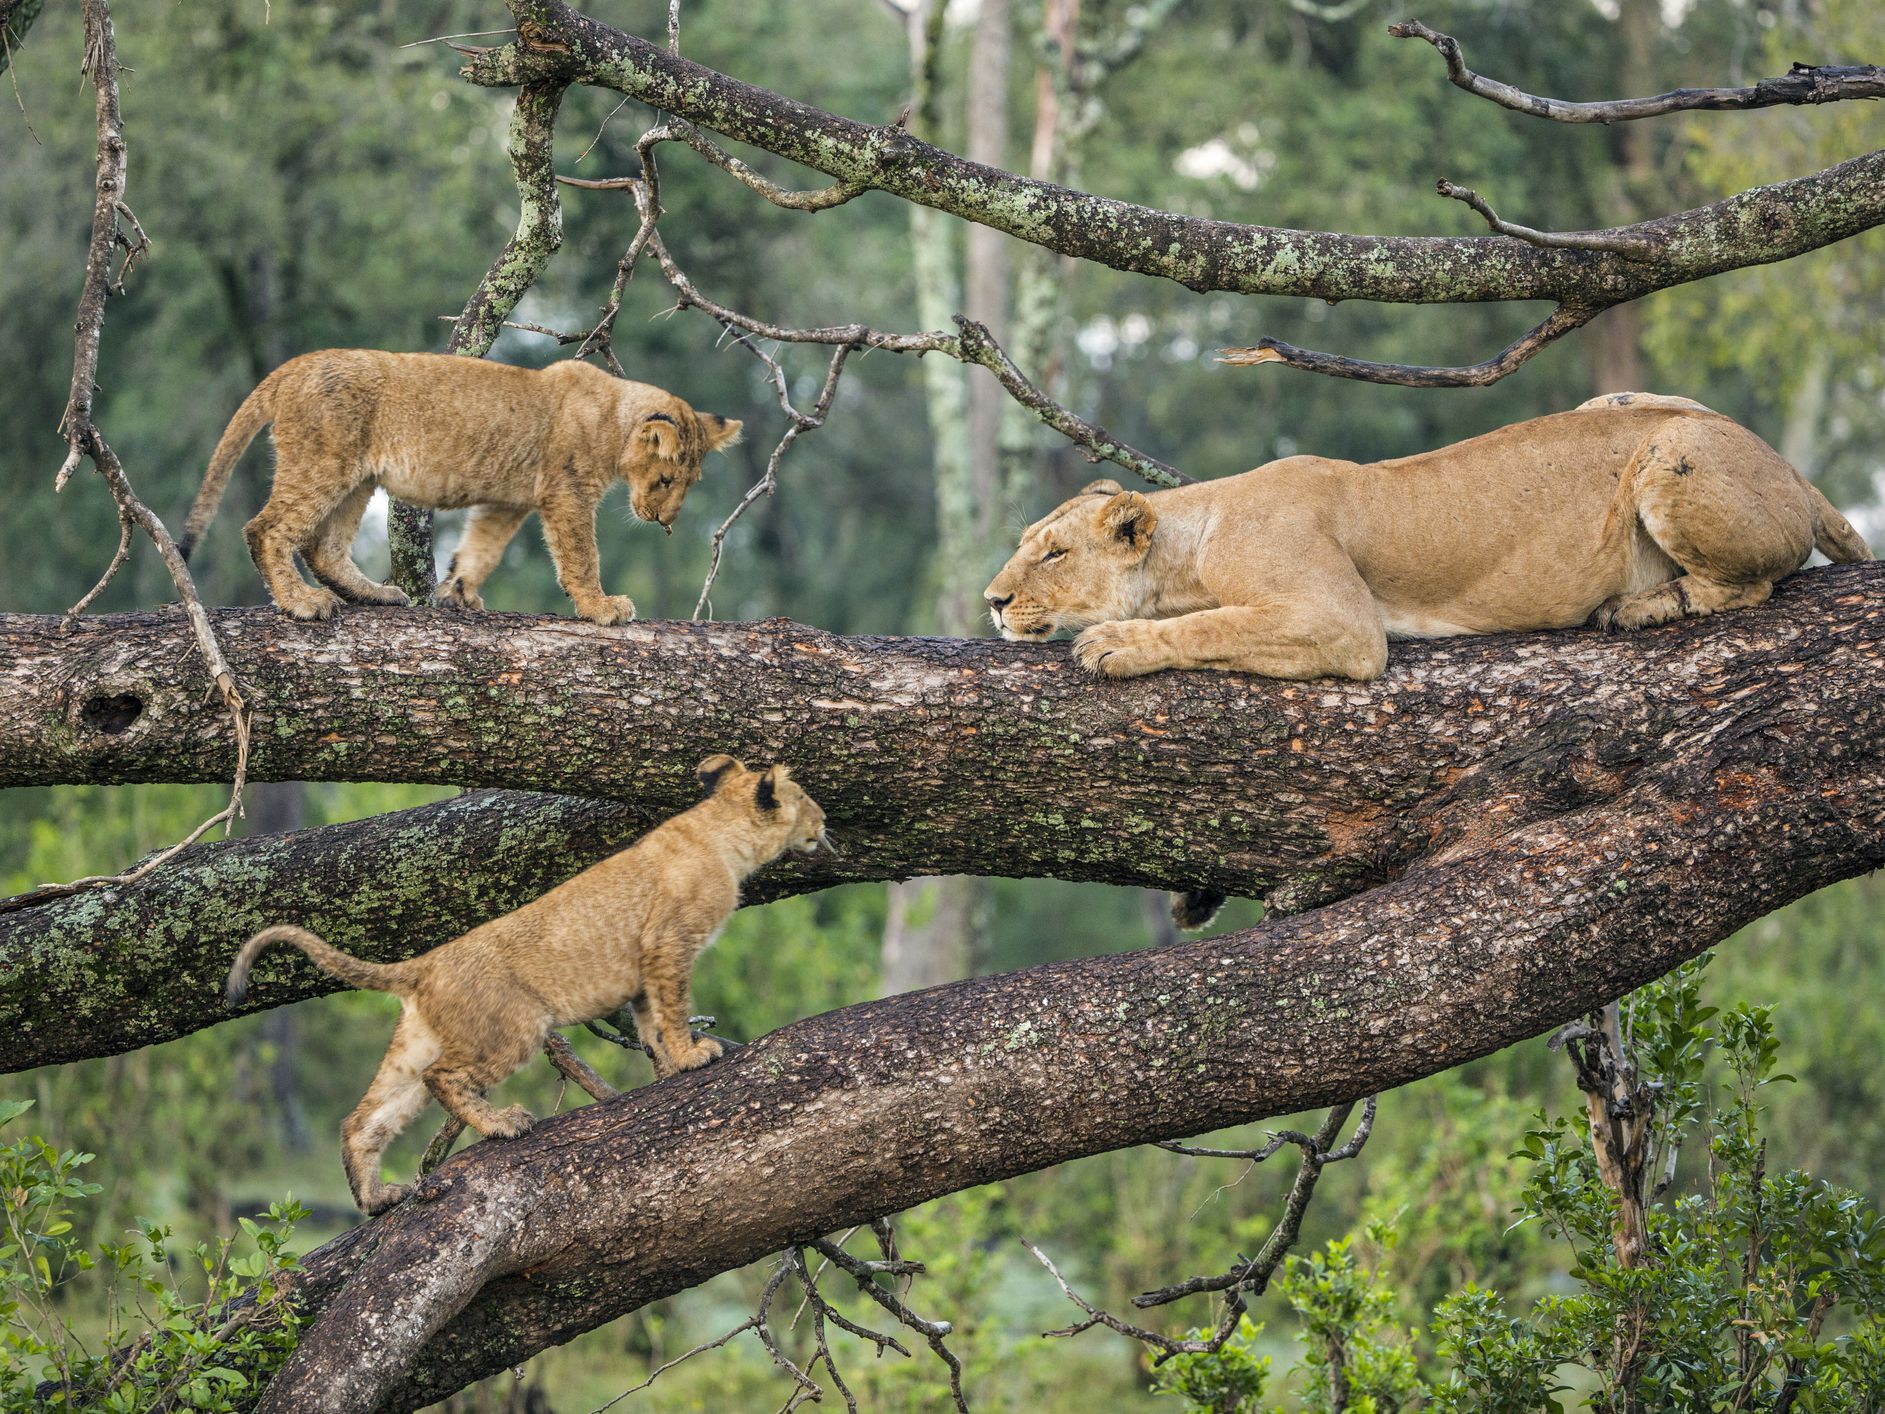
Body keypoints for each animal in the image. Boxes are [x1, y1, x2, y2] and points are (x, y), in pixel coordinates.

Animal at [178, 349, 742, 624]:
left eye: (689, 484)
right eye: (665, 480)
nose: (665, 522)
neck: (614, 416)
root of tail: (295, 365)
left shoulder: (509, 502)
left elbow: (481, 549)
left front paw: (458, 595)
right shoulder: (567, 492)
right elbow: (581, 556)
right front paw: (601, 607)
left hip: (357, 477)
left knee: (324, 546)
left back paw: (376, 594)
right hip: (323, 462)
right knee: (266, 529)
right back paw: (302, 603)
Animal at [223, 755, 828, 1216]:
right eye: (804, 796)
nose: (827, 822)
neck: (721, 833)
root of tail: (426, 962)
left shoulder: (642, 971)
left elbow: (651, 1024)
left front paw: (668, 1067)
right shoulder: (668, 945)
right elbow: (674, 1010)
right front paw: (692, 1056)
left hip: (417, 1044)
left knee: (363, 1119)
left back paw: (377, 1198)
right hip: (514, 1029)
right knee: (445, 1078)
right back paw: (501, 1125)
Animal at [986, 393, 1870, 683]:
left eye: (1054, 552)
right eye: (1026, 539)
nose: (991, 601)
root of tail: (1790, 470)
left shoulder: (1341, 621)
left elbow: (1214, 625)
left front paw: (1112, 642)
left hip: (1668, 454)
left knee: (1748, 584)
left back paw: (1641, 605)